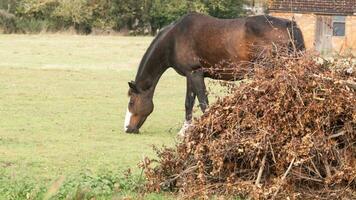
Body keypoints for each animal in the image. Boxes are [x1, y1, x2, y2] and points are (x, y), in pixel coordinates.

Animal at [124, 13, 304, 134]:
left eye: (132, 102)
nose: (127, 128)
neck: (174, 39)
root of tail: (288, 24)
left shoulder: (195, 73)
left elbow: (203, 103)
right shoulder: (191, 75)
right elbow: (189, 102)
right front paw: (185, 130)